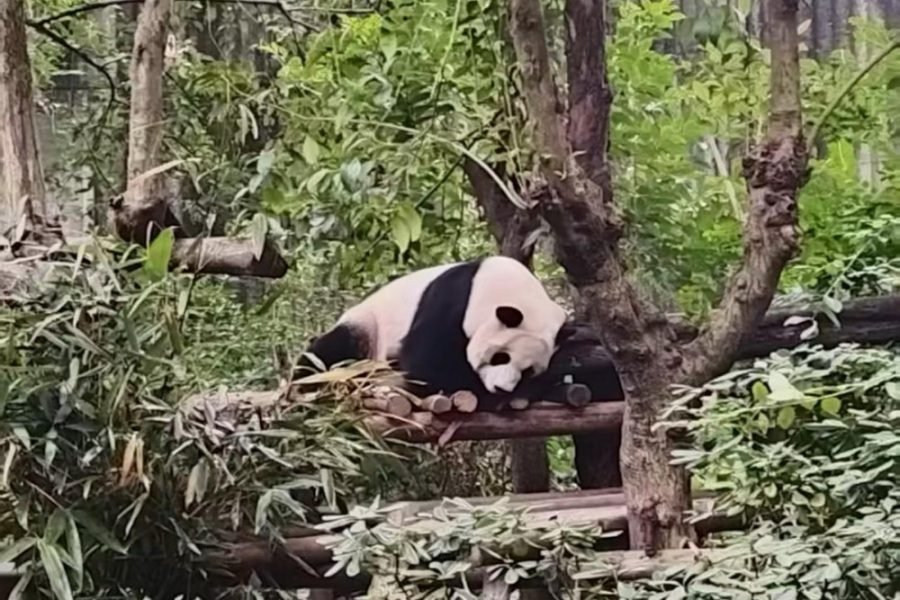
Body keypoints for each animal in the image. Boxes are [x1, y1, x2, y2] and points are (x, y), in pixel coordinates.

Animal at [297, 256, 578, 408]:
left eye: (528, 370)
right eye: (501, 357)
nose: (501, 389)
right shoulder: (450, 300)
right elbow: (427, 367)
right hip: (367, 327)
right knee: (332, 350)